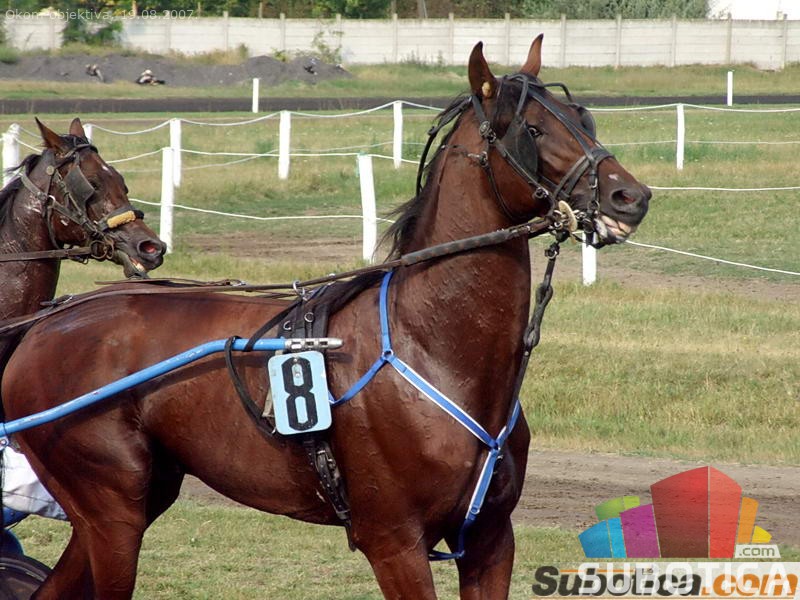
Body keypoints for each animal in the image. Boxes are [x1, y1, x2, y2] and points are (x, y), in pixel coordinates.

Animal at [2, 37, 649, 599]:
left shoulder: (491, 539)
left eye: (584, 118)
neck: (431, 345)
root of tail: (47, 324)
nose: (631, 197)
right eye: (532, 129)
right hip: (112, 508)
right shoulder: (395, 543)